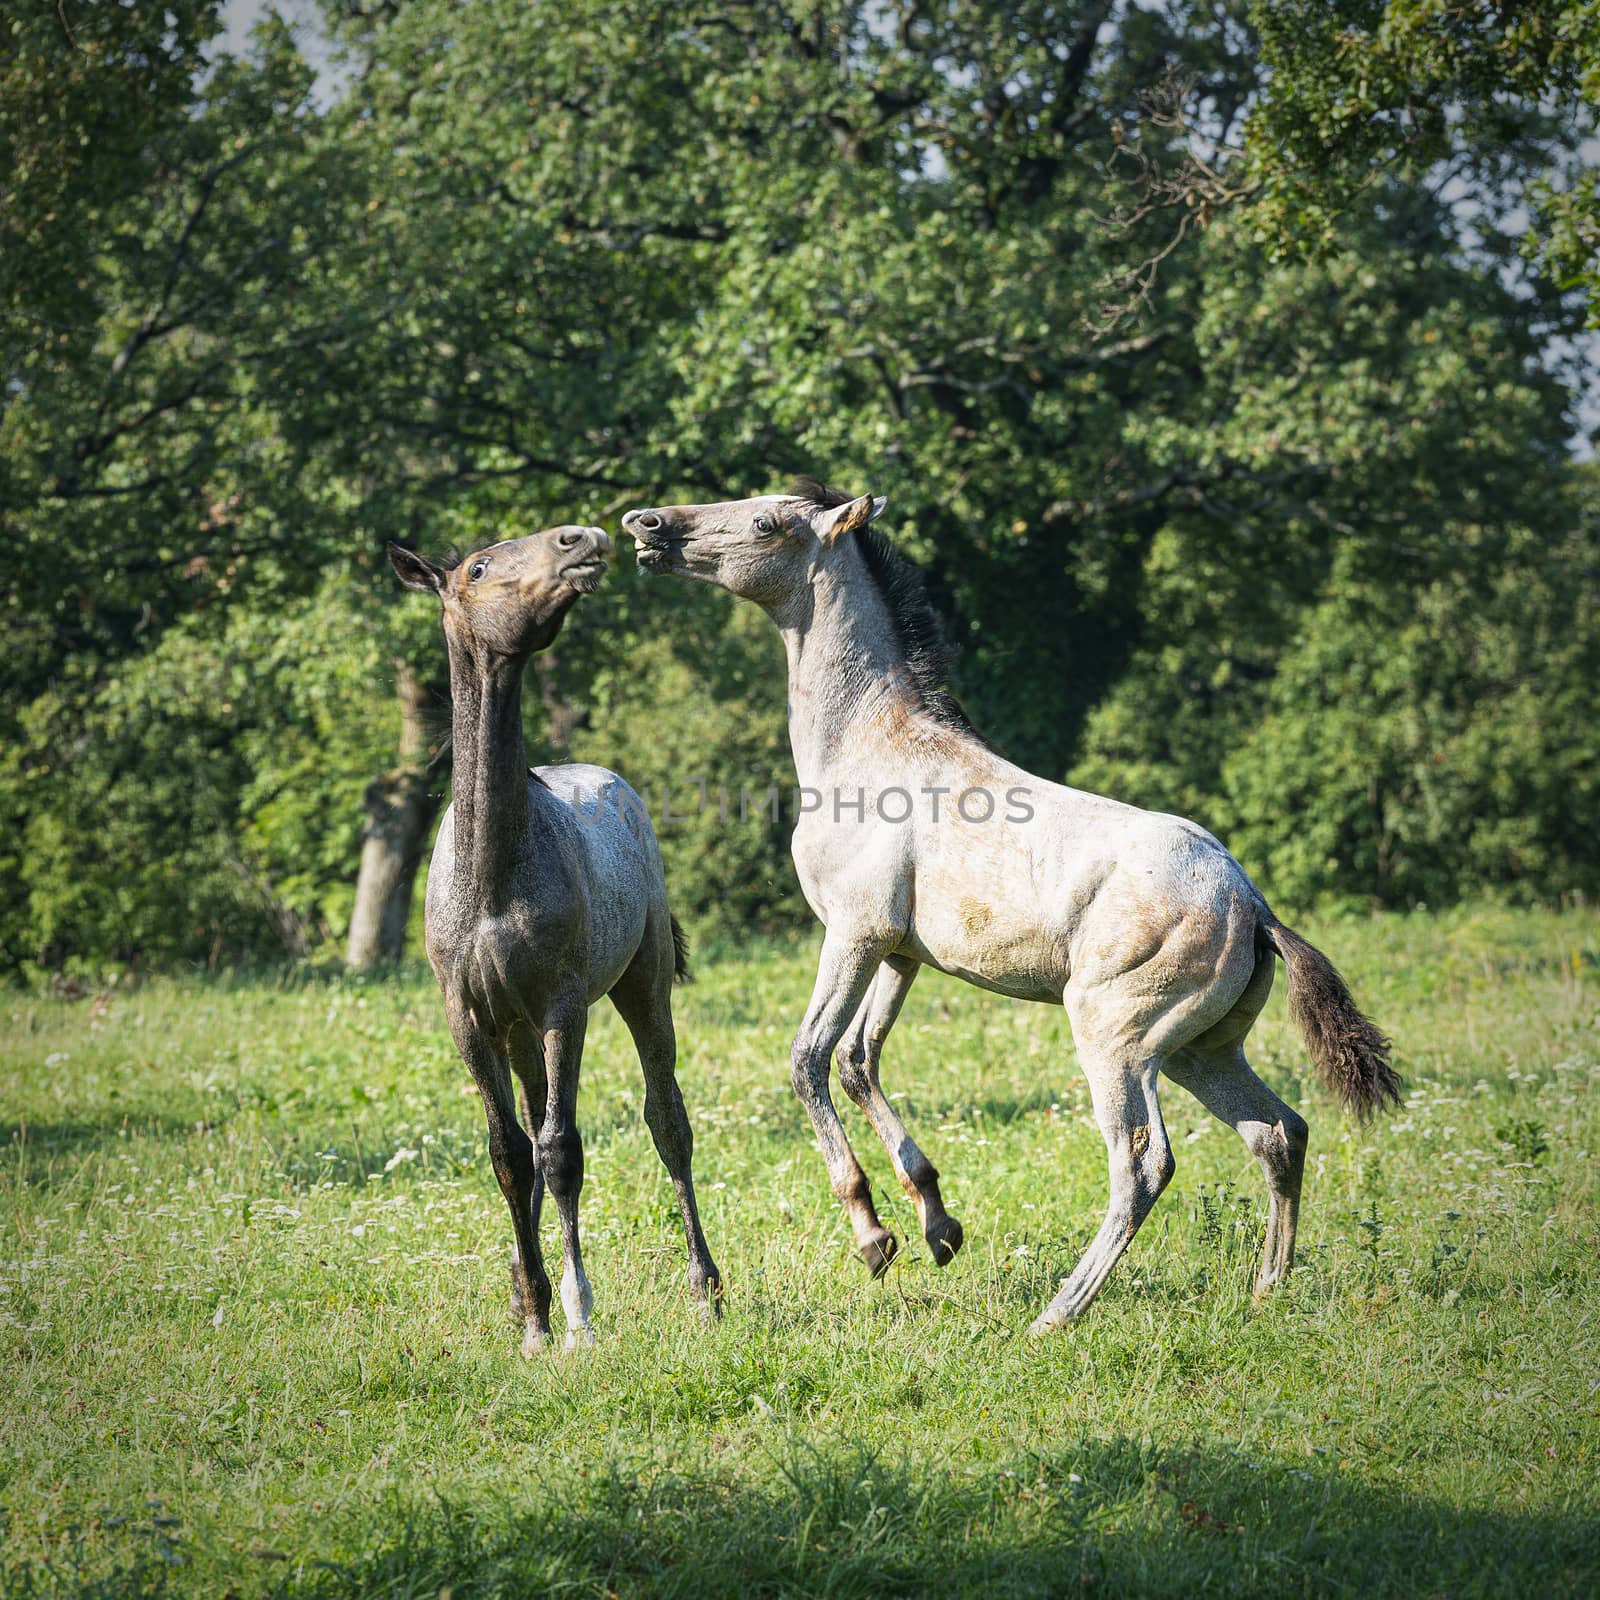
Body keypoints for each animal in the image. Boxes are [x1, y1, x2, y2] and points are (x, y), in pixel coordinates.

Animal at [387, 524, 720, 1350]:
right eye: (478, 567)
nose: (584, 539)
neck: (491, 875)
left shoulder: (561, 1010)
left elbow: (562, 1151)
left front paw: (575, 1315)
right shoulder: (471, 1021)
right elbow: (511, 1153)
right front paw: (532, 1312)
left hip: (640, 990)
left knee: (667, 1120)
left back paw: (705, 1288)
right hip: (516, 1035)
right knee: (534, 1129)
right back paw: (520, 1290)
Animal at [617, 480, 1395, 1331]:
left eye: (766, 522)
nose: (645, 525)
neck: (867, 752)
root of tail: (1252, 906)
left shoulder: (854, 934)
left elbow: (810, 1058)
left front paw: (874, 1236)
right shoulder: (902, 953)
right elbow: (859, 1061)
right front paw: (938, 1226)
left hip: (1118, 1041)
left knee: (1144, 1164)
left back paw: (1056, 1314)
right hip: (1200, 1049)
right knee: (1278, 1132)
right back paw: (1264, 1292)